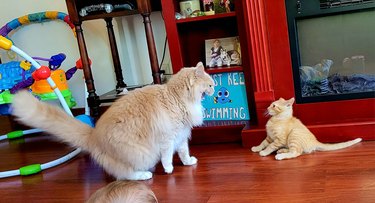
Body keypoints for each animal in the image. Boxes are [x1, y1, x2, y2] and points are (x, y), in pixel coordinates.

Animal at [11, 61, 216, 179]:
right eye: (210, 85)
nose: (214, 90)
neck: (176, 97)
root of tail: (94, 134)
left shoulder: (181, 136)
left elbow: (184, 152)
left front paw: (188, 162)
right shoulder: (167, 138)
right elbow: (167, 157)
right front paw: (169, 169)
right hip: (141, 153)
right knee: (128, 174)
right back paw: (145, 174)